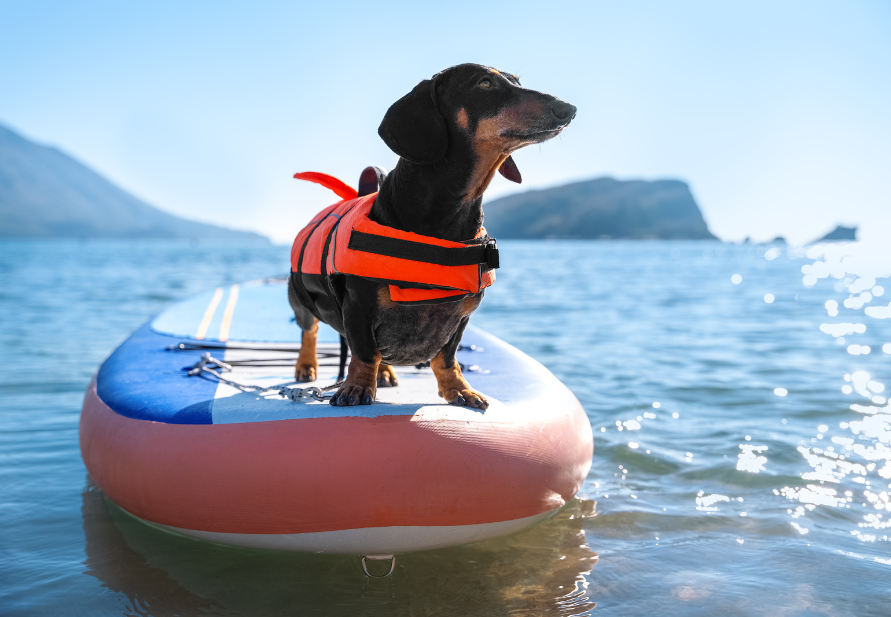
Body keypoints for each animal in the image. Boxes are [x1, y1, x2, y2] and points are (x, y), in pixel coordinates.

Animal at [290, 63, 576, 410]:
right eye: (485, 83)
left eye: (518, 81)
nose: (568, 109)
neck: (444, 217)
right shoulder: (358, 308)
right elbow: (364, 352)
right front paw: (356, 386)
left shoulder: (461, 316)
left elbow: (446, 357)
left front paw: (459, 389)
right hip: (301, 302)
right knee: (310, 331)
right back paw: (307, 365)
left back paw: (385, 373)